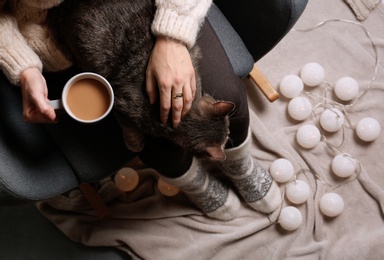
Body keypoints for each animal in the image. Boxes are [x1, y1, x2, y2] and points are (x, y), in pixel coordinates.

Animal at [48, 0, 234, 158]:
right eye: (228, 132)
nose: (230, 132)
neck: (185, 116)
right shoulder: (122, 104)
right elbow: (129, 128)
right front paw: (135, 143)